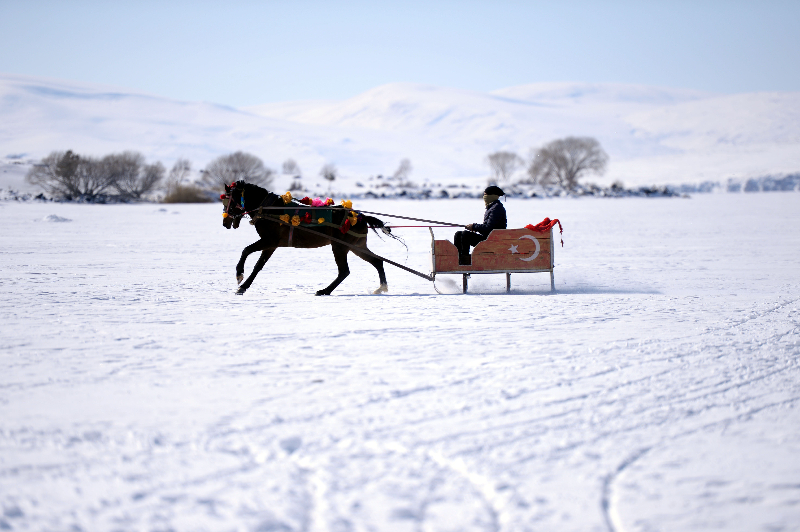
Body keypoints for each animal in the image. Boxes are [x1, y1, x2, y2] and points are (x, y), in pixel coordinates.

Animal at [222, 182, 390, 298]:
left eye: (227, 201)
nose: (225, 222)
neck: (270, 210)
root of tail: (360, 216)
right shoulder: (271, 245)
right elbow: (258, 266)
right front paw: (243, 287)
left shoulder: (269, 241)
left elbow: (246, 250)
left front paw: (239, 275)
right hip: (356, 246)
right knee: (377, 262)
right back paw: (381, 287)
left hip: (340, 246)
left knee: (344, 271)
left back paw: (324, 290)